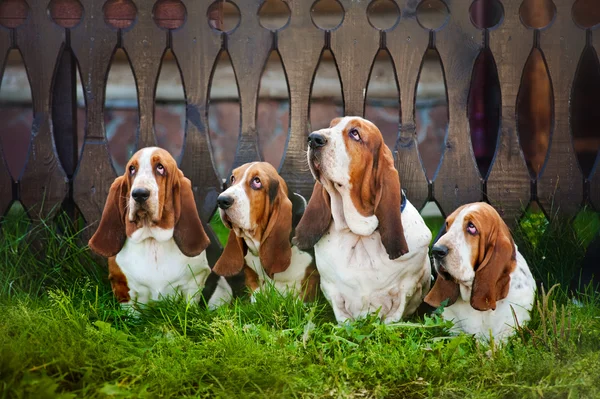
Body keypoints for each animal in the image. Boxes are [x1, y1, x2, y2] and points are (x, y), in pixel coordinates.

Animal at [89, 147, 232, 310]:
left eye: (160, 167)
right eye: (132, 169)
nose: (139, 193)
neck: (152, 240)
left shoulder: (195, 280)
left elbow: (189, 305)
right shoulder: (122, 286)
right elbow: (131, 311)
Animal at [292, 117, 428, 324]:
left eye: (355, 134)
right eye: (331, 126)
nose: (313, 138)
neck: (359, 233)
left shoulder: (407, 285)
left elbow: (395, 311)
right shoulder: (331, 287)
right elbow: (341, 312)